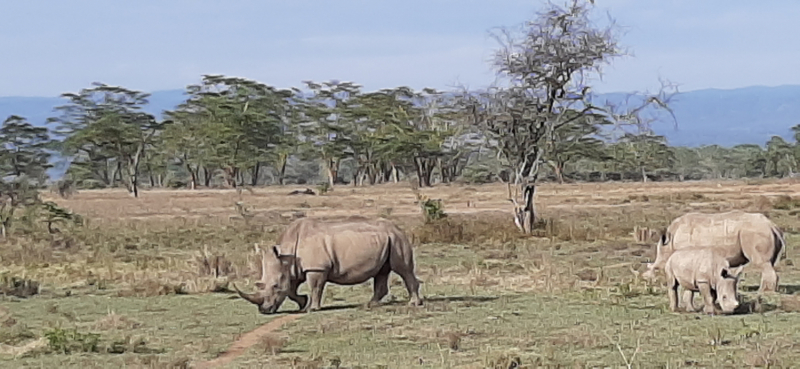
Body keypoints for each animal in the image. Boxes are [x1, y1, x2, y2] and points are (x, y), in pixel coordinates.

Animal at [233, 216, 424, 314]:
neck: (286, 253)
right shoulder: (295, 269)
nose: (264, 310)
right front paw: (303, 304)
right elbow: (292, 290)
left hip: (397, 238)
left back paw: (413, 304)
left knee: (403, 269)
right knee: (382, 272)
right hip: (387, 239)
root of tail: (398, 227)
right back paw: (371, 304)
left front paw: (312, 308)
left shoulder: (316, 268)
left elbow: (315, 287)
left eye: (274, 286)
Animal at [640, 211, 784, 292]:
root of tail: (771, 225)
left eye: (656, 269)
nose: (645, 280)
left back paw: (764, 291)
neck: (668, 246)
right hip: (761, 231)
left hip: (755, 233)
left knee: (762, 262)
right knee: (769, 263)